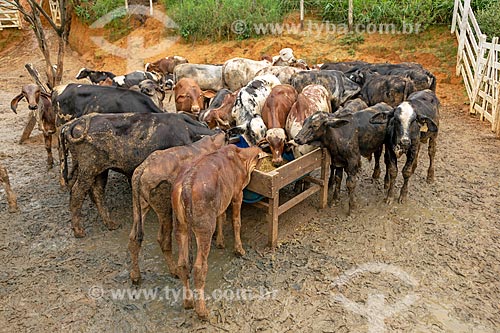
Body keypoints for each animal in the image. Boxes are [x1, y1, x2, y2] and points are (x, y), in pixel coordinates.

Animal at [59, 113, 216, 237]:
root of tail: (75, 122)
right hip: (88, 170)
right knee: (77, 193)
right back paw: (78, 230)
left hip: (99, 171)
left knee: (97, 192)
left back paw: (110, 223)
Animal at [127, 132, 227, 282]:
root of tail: (143, 169)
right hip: (165, 207)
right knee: (163, 239)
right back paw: (174, 271)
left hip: (139, 204)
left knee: (134, 237)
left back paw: (135, 275)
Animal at [172, 145, 264, 320]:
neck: (240, 157)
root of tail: (187, 183)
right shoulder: (237, 194)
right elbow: (236, 222)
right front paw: (239, 249)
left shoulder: (223, 200)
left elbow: (222, 216)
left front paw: (220, 241)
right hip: (205, 229)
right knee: (199, 268)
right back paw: (202, 311)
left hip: (180, 226)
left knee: (182, 264)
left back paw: (188, 302)